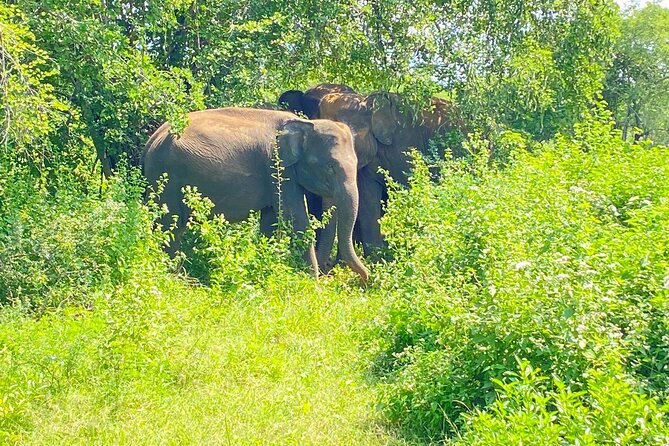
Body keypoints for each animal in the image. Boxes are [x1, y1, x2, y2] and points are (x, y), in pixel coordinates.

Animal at [142, 107, 369, 282]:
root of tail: (152, 141)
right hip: (167, 175)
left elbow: (269, 221)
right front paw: (312, 286)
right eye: (330, 167)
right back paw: (175, 279)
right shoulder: (278, 168)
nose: (366, 279)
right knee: (171, 224)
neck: (306, 123)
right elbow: (296, 219)